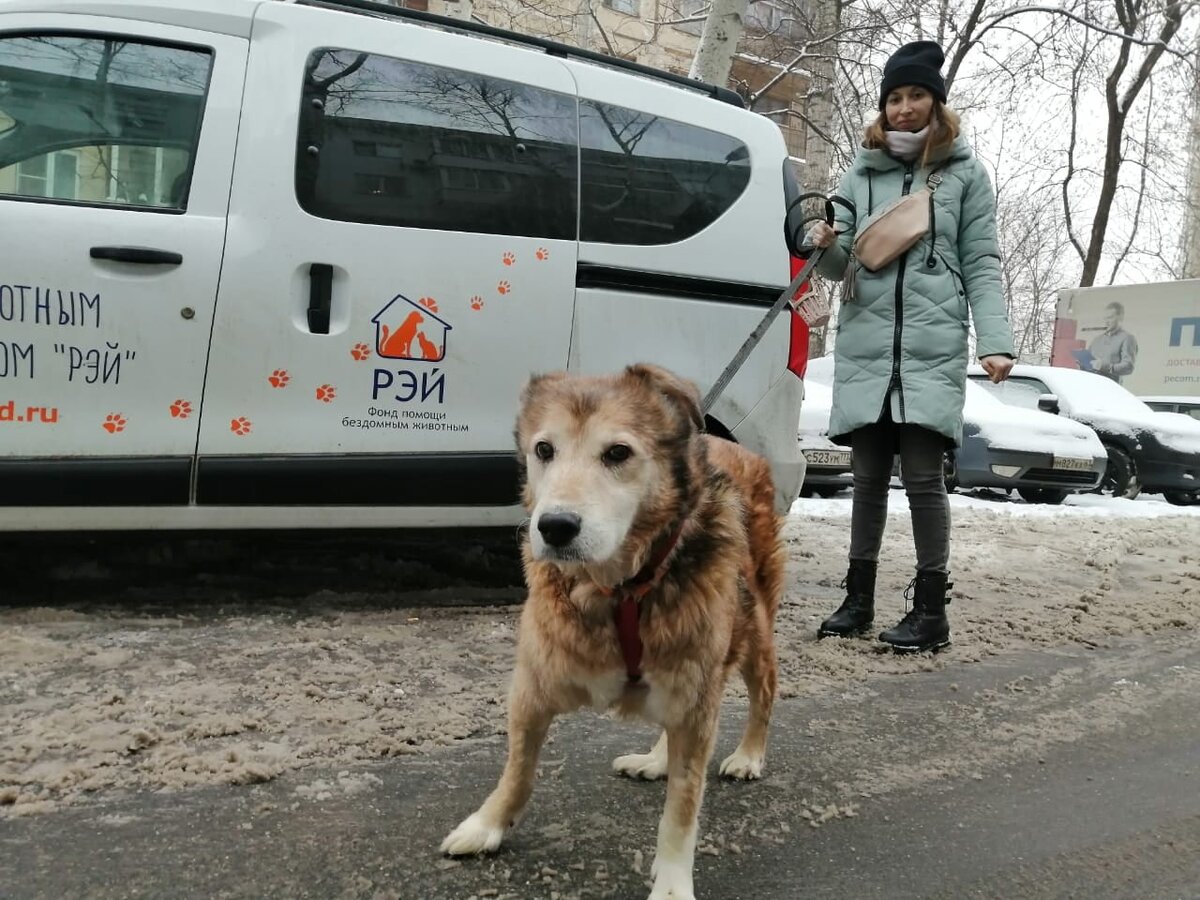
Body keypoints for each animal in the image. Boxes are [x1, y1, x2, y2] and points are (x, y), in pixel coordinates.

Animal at [444, 362, 787, 897]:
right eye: (544, 450)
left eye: (618, 453)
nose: (554, 527)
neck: (618, 590)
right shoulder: (534, 686)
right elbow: (518, 770)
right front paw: (487, 825)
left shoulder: (697, 692)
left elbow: (682, 809)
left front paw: (672, 883)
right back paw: (656, 760)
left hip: (749, 632)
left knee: (764, 692)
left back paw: (749, 754)